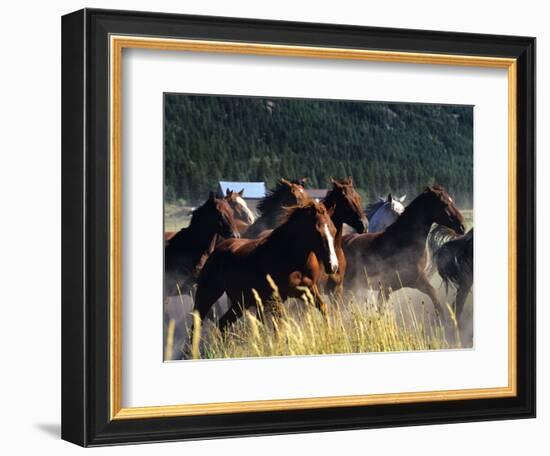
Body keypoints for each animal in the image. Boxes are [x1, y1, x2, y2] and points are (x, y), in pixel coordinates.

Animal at [344, 185, 466, 318]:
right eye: (444, 204)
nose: (462, 227)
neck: (404, 241)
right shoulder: (399, 283)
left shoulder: (410, 283)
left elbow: (435, 298)